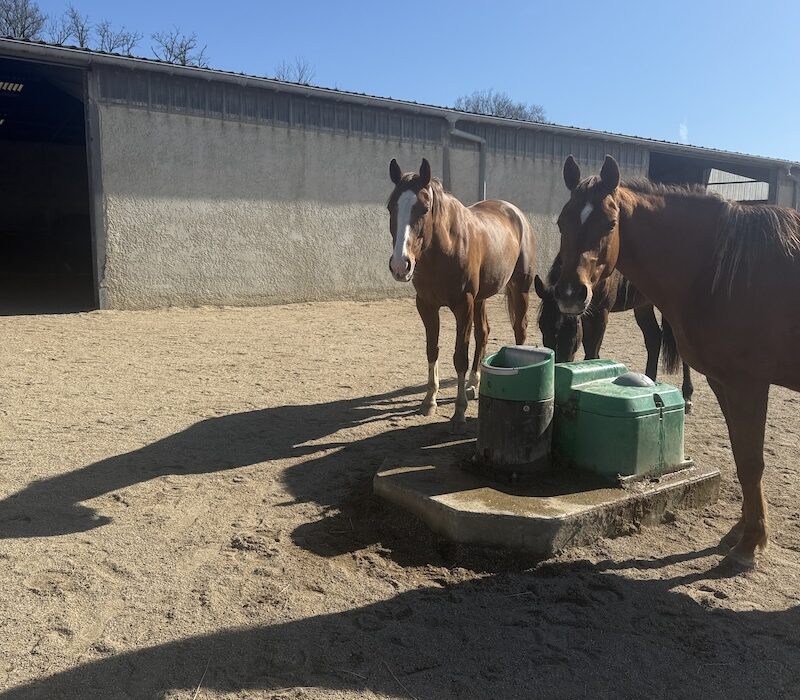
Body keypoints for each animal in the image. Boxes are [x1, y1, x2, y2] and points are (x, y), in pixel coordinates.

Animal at [386, 158, 536, 432]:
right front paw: (429, 401)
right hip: (481, 299)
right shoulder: (426, 306)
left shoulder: (462, 305)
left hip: (519, 288)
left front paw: (459, 412)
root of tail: (516, 214)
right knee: (483, 333)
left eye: (424, 208)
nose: (400, 265)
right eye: (391, 207)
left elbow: (459, 358)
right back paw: (474, 384)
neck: (443, 250)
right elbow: (432, 350)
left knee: (520, 330)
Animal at [533, 257, 695, 411]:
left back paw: (687, 395)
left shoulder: (600, 314)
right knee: (653, 338)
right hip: (643, 304)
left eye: (573, 328)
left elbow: (591, 353)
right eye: (542, 326)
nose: (557, 366)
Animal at [552, 153, 800, 568]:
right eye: (561, 221)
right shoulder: (724, 382)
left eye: (609, 224)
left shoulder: (748, 383)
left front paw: (750, 545)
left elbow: (752, 461)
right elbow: (740, 455)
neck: (720, 268)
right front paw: (741, 532)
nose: (570, 293)